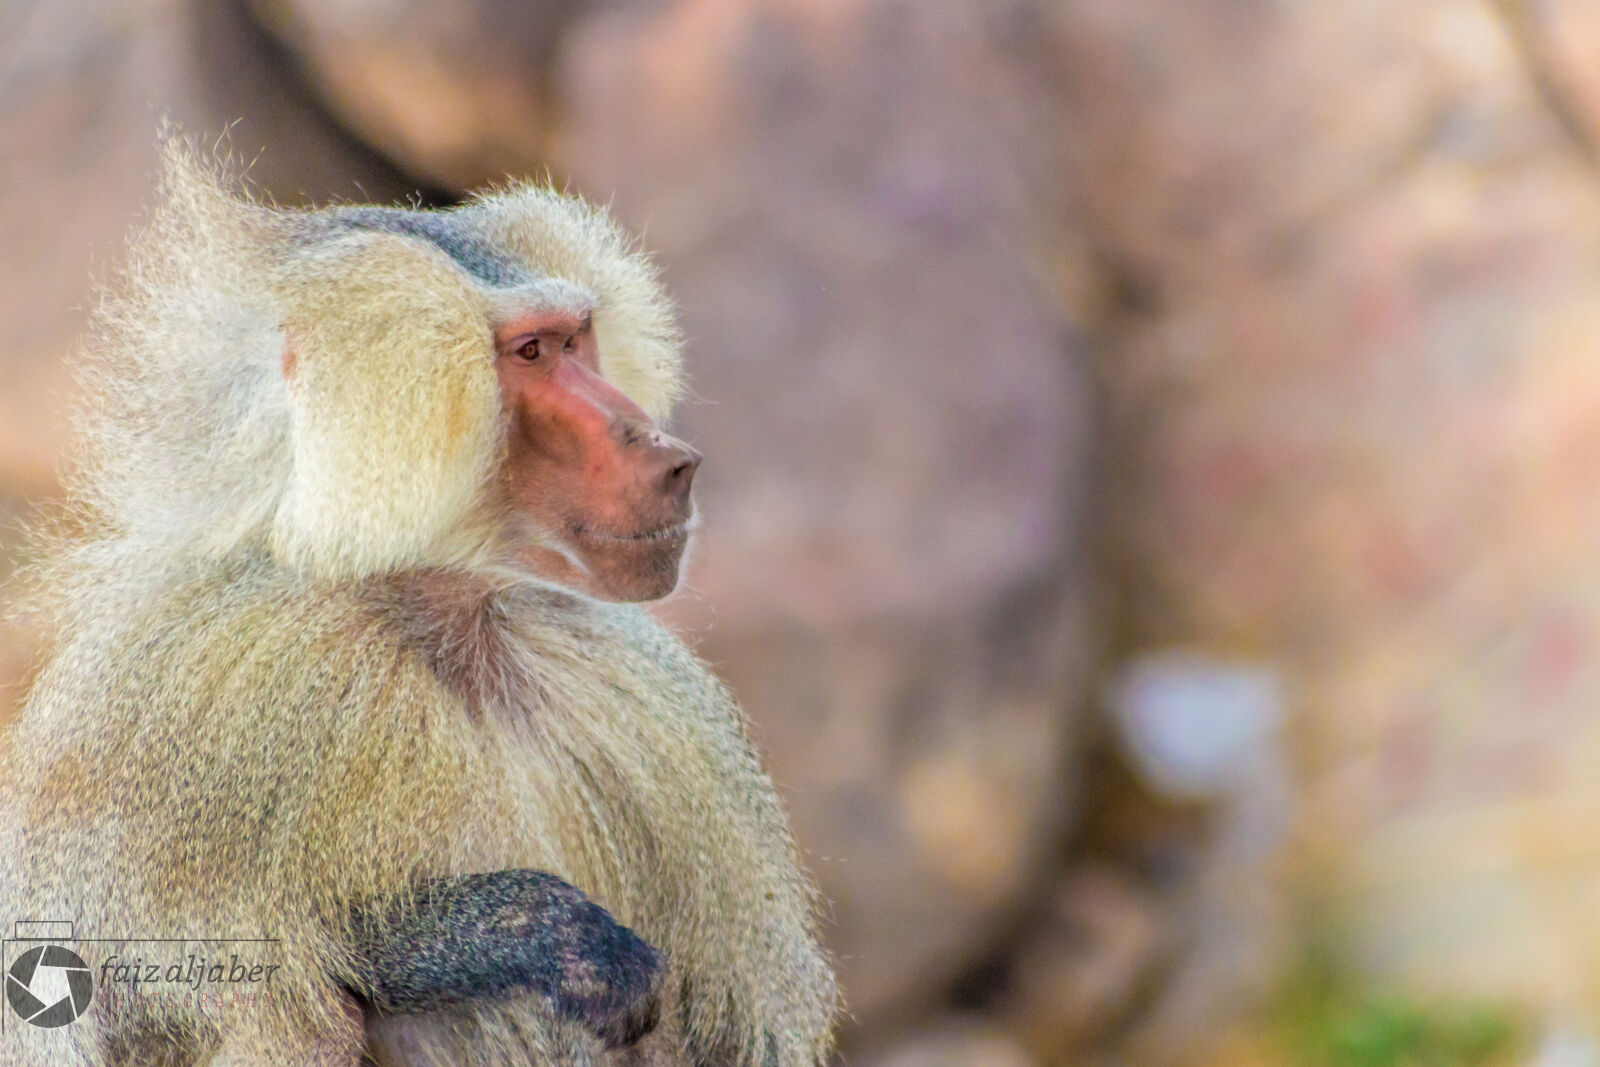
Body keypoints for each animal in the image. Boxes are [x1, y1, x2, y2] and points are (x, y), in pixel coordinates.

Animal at [0, 139, 838, 1066]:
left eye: (577, 339)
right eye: (532, 352)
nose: (671, 456)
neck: (444, 621)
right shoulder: (198, 695)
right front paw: (531, 932)